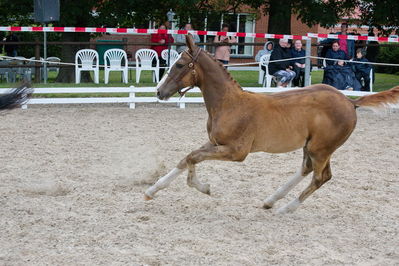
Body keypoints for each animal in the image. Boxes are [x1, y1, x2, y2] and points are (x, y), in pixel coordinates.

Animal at [145, 35, 399, 214]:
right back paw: (270, 201)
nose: (159, 91)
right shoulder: (214, 142)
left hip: (321, 148)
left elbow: (193, 158)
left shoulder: (237, 152)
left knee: (320, 177)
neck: (230, 103)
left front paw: (202, 187)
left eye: (179, 65)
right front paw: (151, 191)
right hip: (311, 147)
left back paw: (285, 209)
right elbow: (187, 157)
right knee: (307, 169)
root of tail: (350, 102)